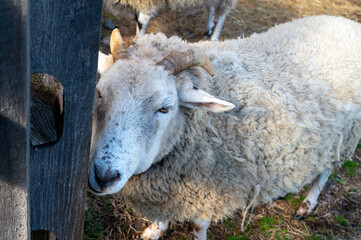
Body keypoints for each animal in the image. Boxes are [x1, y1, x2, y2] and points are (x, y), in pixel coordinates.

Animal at [88, 15, 360, 240]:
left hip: (344, 134)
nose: (104, 176)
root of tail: (347, 23)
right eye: (99, 93)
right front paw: (155, 231)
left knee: (327, 170)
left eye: (165, 108)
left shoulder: (211, 194)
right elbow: (161, 216)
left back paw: (307, 205)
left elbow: (197, 227)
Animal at [102, 0, 236, 40]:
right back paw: (208, 29)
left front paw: (140, 40)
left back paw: (214, 37)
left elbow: (141, 21)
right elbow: (137, 20)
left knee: (222, 14)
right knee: (211, 7)